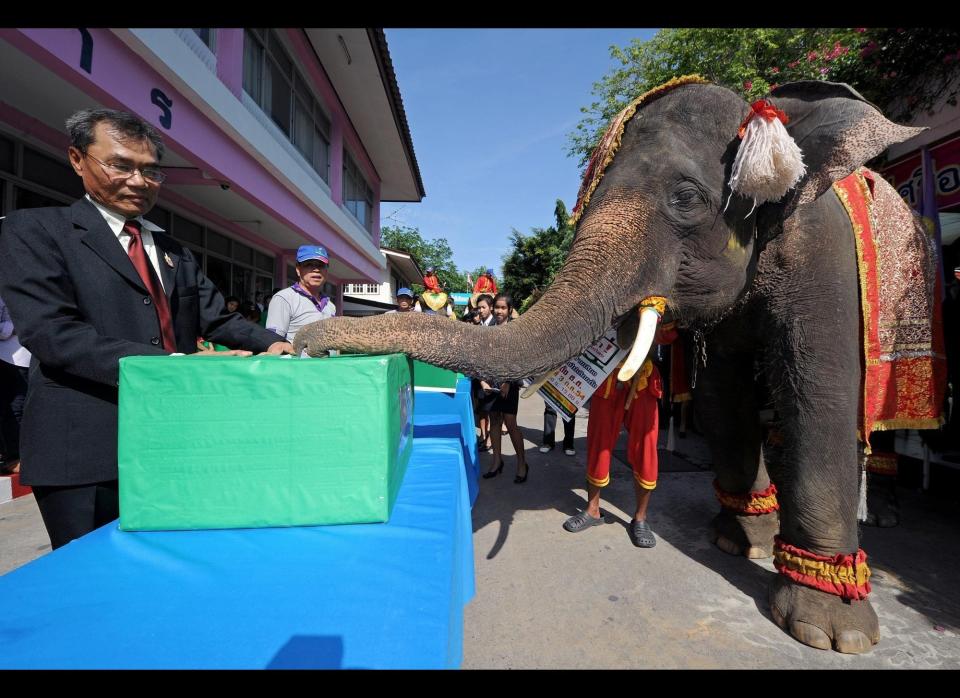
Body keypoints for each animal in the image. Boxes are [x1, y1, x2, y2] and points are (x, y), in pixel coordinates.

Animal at [296, 79, 940, 648]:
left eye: (688, 199)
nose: (308, 343)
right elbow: (721, 397)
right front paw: (742, 543)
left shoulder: (822, 253)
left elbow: (821, 396)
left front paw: (829, 630)